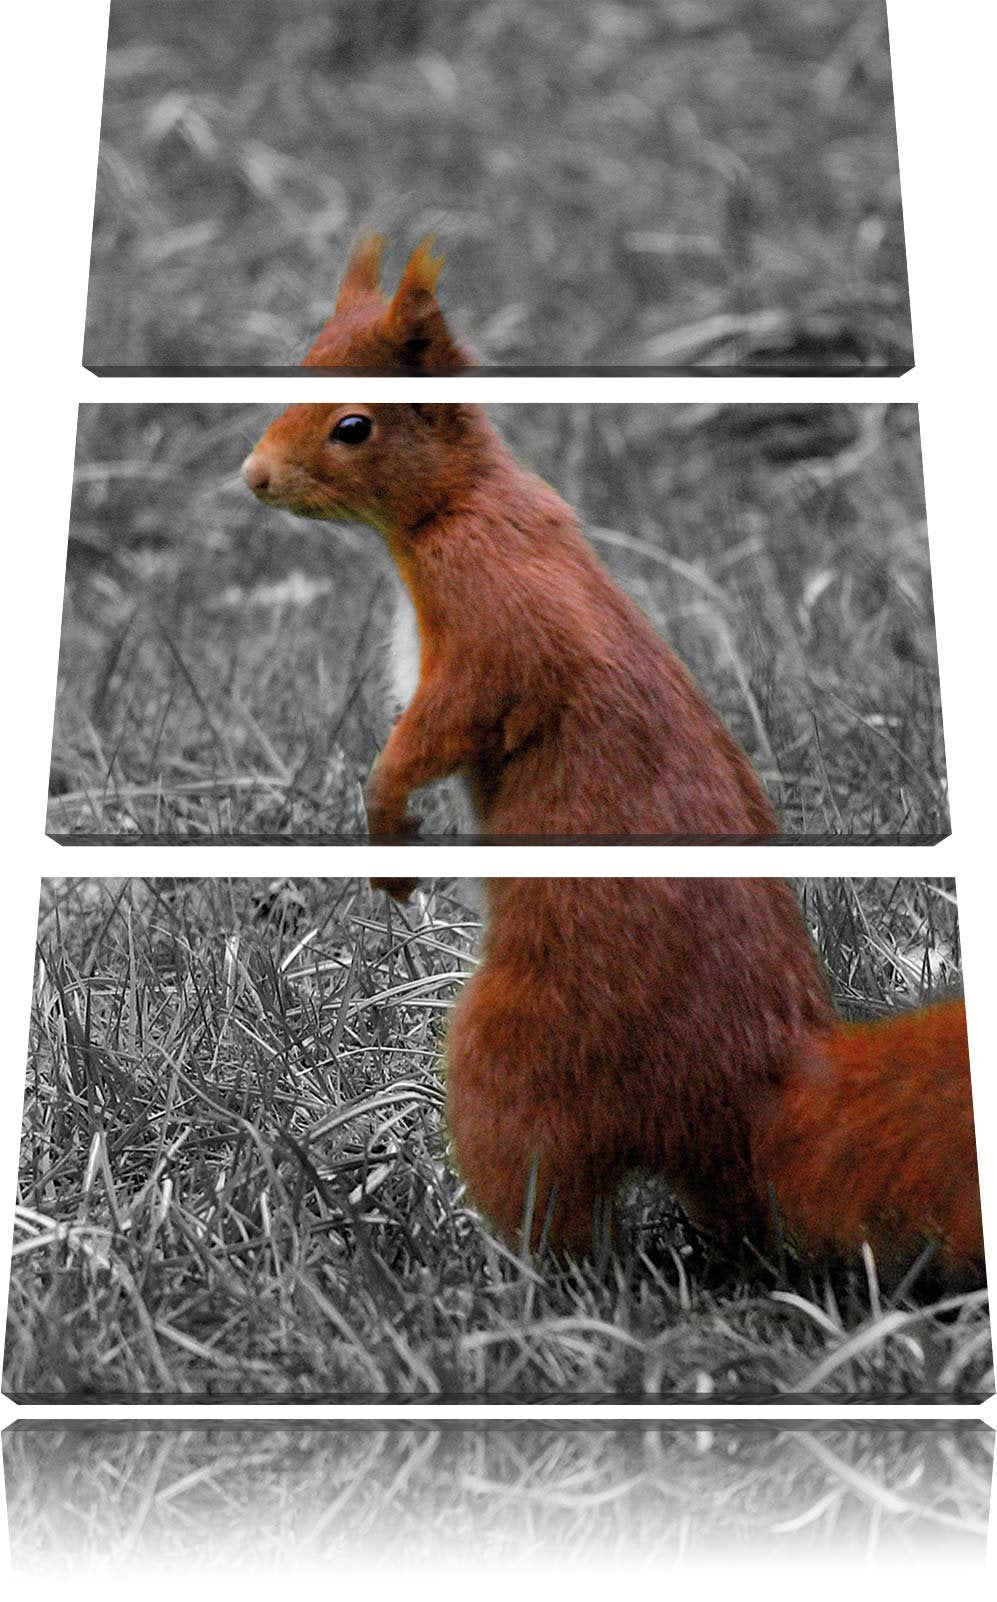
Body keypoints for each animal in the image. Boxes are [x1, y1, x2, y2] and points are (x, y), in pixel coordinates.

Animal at [242, 237, 983, 1282]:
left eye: (354, 426)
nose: (254, 477)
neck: (460, 504)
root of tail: (753, 1092)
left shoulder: (493, 622)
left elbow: (448, 722)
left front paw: (384, 823)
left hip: (523, 1055)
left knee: (552, 1203)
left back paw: (503, 1271)